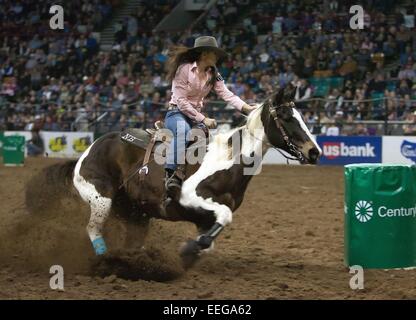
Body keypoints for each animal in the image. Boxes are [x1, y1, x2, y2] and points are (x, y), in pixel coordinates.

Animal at [30, 85, 322, 268]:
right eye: (286, 116)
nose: (315, 151)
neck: (229, 160)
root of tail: (87, 152)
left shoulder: (204, 219)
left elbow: (212, 236)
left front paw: (189, 254)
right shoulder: (191, 195)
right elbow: (225, 215)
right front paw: (189, 250)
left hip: (136, 214)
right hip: (101, 199)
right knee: (92, 228)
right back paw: (106, 260)